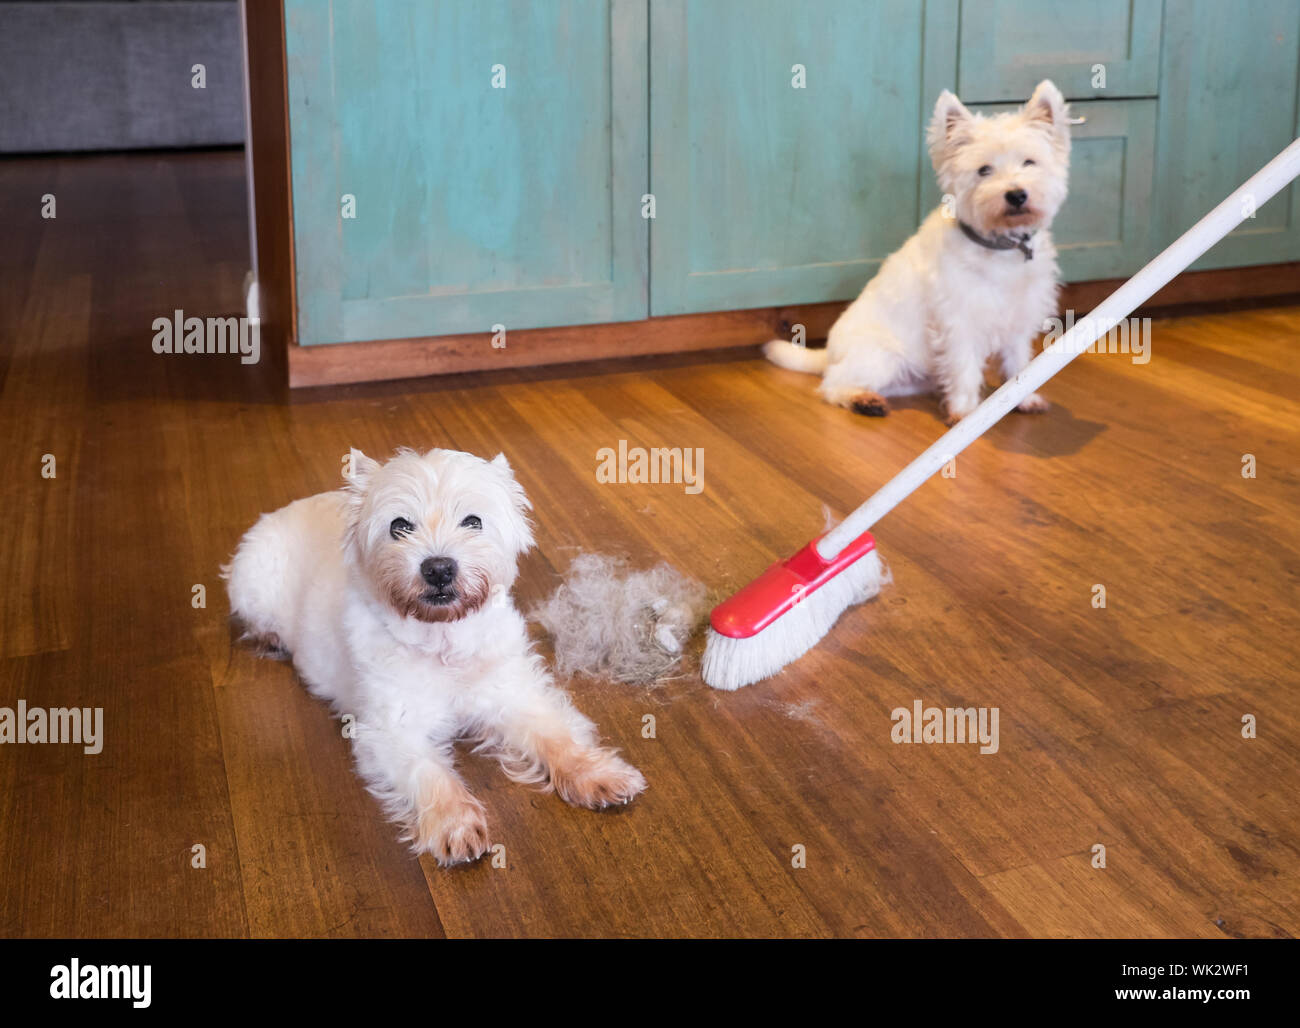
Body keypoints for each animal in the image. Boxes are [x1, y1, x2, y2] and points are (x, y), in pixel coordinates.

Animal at [228, 449, 650, 868]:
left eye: (473, 521)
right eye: (399, 526)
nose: (439, 568)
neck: (444, 640)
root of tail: (283, 509)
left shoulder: (514, 695)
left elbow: (556, 736)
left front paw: (597, 774)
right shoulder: (391, 730)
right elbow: (431, 774)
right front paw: (455, 825)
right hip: (253, 587)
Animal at [764, 78, 1071, 426]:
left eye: (1029, 162)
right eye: (983, 170)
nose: (1017, 195)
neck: (1001, 249)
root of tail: (829, 353)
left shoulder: (1019, 318)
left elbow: (1020, 362)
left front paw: (1024, 398)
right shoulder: (959, 322)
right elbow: (964, 368)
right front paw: (966, 412)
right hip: (881, 358)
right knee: (833, 384)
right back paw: (864, 400)